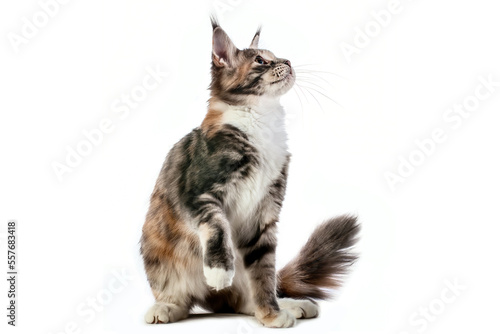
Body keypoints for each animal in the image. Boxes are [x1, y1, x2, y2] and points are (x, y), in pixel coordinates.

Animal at [141, 17, 360, 328]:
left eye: (276, 56)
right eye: (261, 61)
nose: (288, 61)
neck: (261, 123)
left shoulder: (264, 214)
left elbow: (263, 274)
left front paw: (271, 314)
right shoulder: (198, 194)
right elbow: (218, 227)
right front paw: (220, 271)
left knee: (246, 300)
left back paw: (289, 305)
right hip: (161, 258)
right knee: (181, 300)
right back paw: (165, 307)